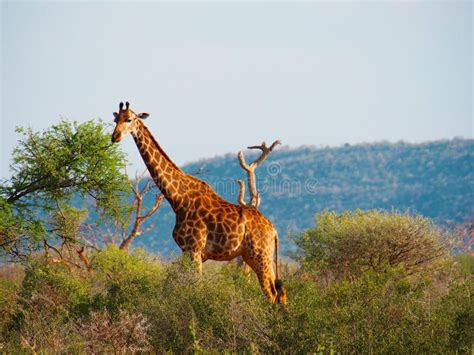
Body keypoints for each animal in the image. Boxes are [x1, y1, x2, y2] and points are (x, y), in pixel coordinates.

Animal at [111, 101, 286, 304]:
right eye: (115, 119)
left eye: (129, 119)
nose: (114, 137)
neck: (177, 198)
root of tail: (273, 231)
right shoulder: (189, 252)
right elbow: (173, 285)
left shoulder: (193, 249)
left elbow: (196, 289)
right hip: (254, 256)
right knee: (281, 292)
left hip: (260, 255)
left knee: (272, 293)